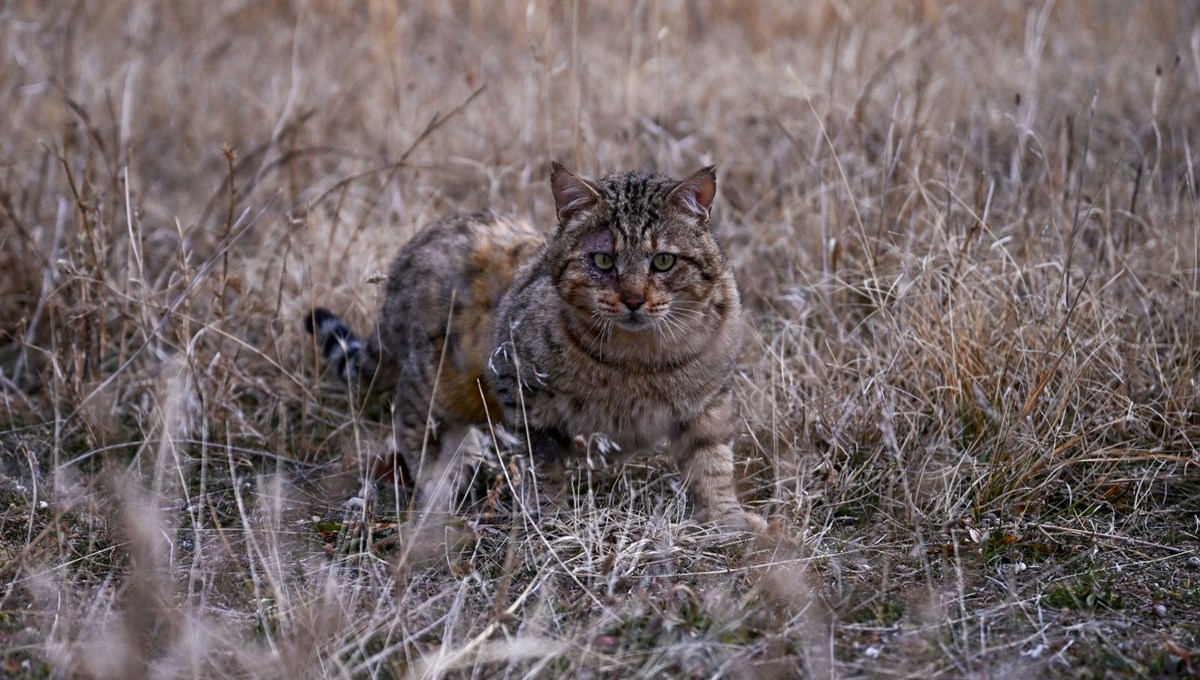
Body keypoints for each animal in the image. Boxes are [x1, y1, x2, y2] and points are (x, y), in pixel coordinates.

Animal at [307, 163, 758, 532]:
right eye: (603, 261)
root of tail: (411, 247)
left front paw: (728, 519)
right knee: (411, 425)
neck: (638, 359)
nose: (633, 300)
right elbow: (544, 466)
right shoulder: (522, 391)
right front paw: (552, 519)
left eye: (663, 261)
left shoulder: (710, 402)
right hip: (435, 384)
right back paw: (438, 494)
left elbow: (713, 463)